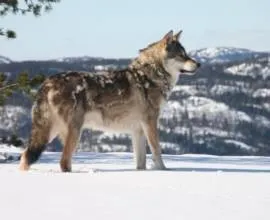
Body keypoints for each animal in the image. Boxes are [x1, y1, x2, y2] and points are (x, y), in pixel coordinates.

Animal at [19, 29, 200, 172]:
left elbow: (140, 162)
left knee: (26, 156)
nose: (199, 64)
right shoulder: (150, 123)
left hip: (51, 131)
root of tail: (47, 82)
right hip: (73, 131)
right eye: (182, 55)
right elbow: (157, 151)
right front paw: (164, 171)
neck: (151, 76)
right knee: (63, 162)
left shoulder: (138, 130)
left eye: (186, 54)